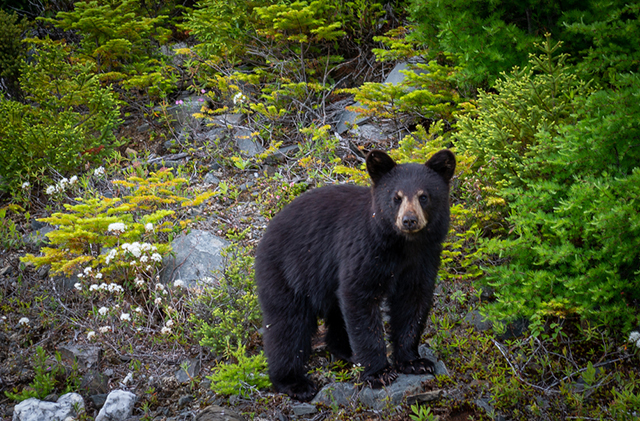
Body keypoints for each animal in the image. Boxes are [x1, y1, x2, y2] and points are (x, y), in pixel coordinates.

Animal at [255, 148, 456, 400]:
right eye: (396, 197)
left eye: (423, 196)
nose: (409, 220)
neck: (403, 246)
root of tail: (266, 232)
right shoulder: (365, 250)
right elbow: (359, 298)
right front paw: (379, 373)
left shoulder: (424, 258)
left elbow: (412, 302)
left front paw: (414, 361)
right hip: (287, 273)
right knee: (287, 325)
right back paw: (294, 382)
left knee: (335, 313)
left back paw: (346, 351)